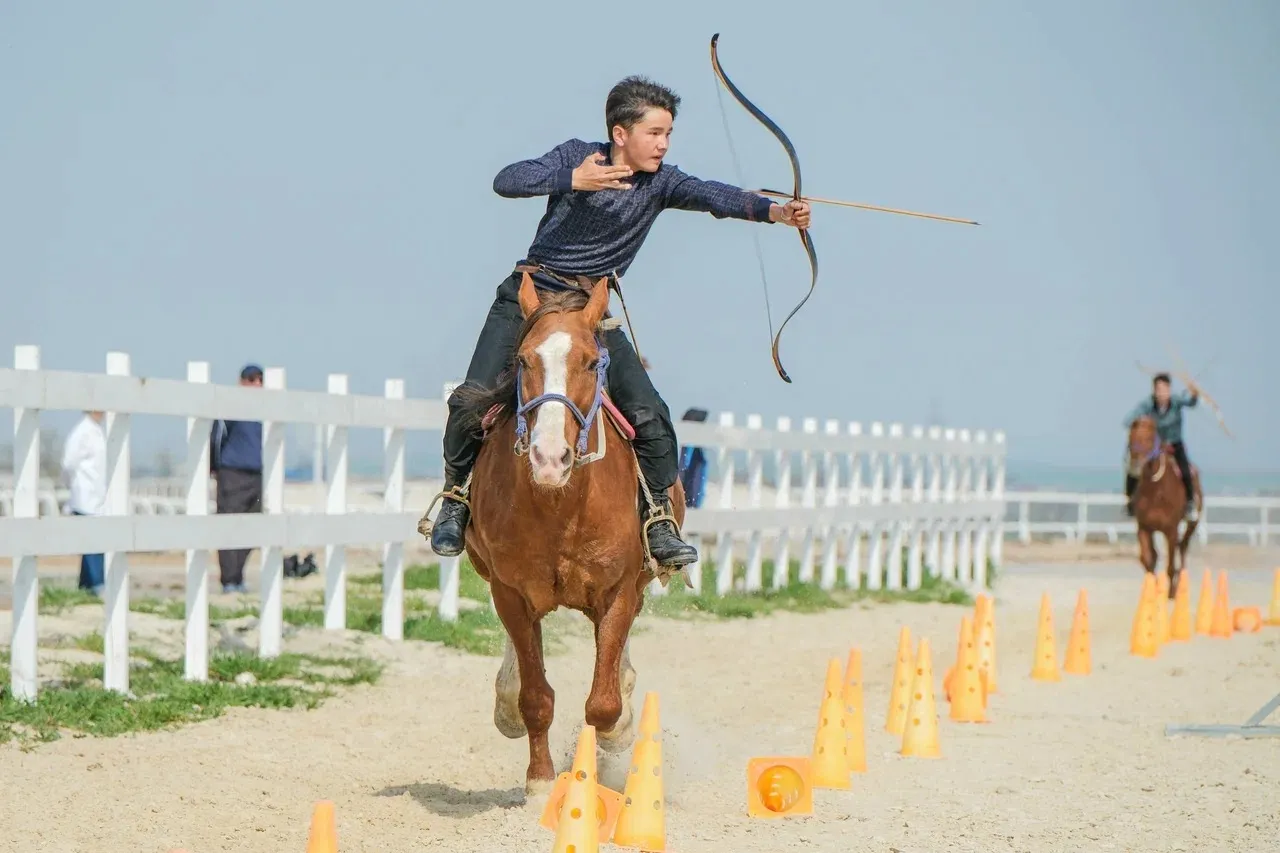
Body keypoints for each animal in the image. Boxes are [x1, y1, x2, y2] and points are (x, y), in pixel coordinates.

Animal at [453, 270, 691, 788]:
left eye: (590, 362)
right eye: (523, 360)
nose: (549, 458)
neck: (560, 506)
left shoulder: (619, 590)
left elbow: (602, 704)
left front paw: (601, 758)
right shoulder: (510, 591)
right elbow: (536, 697)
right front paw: (541, 782)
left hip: (639, 581)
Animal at [1131, 412, 1198, 596]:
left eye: (1148, 438)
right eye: (1131, 437)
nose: (1135, 462)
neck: (1156, 491)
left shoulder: (1171, 531)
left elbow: (1169, 566)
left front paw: (1171, 593)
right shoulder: (1144, 528)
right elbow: (1147, 560)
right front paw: (1152, 591)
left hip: (1191, 525)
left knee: (1182, 548)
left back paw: (1179, 584)